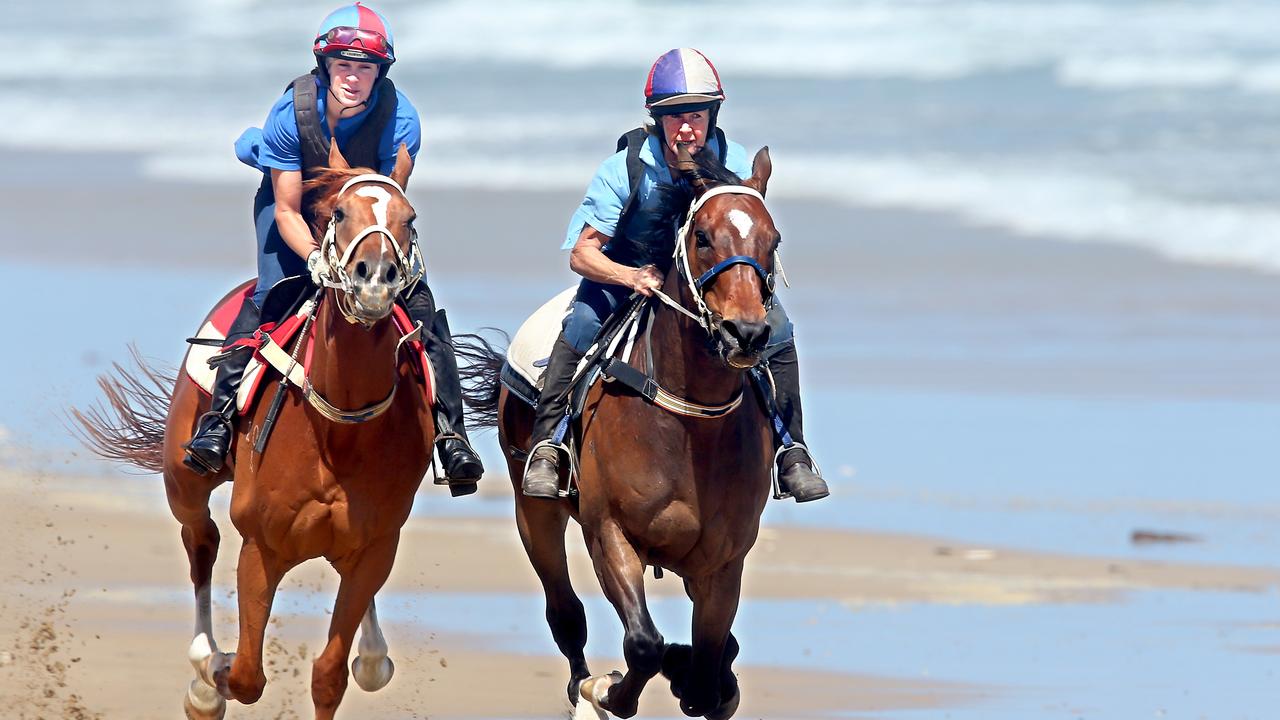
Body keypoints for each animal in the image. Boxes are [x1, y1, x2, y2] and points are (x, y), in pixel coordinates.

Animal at [74, 142, 435, 712]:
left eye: (410, 218)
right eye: (339, 213)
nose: (374, 277)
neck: (339, 431)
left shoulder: (374, 547)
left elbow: (331, 673)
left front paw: (360, 659)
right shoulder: (262, 546)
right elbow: (244, 676)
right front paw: (208, 682)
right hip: (184, 480)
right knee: (200, 538)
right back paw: (204, 657)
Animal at [463, 146, 778, 717]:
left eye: (774, 240)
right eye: (703, 237)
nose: (745, 333)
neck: (688, 426)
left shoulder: (723, 562)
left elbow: (709, 664)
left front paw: (695, 673)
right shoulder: (608, 530)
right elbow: (644, 644)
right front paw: (606, 690)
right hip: (534, 512)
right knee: (565, 612)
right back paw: (582, 684)